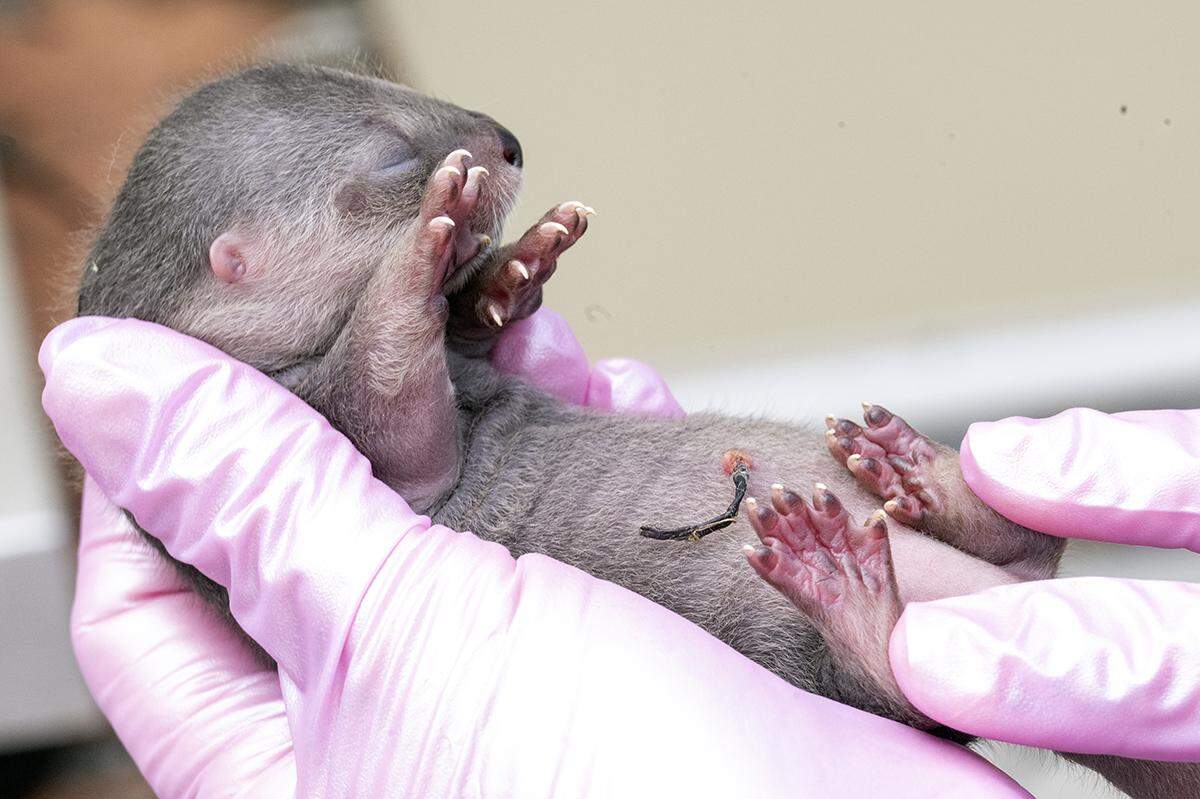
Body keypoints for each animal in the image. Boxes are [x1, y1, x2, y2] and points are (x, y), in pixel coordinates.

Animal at [73, 63, 1197, 798]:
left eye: (374, 76)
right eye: (390, 153)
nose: (503, 141)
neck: (263, 351)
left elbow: (470, 332)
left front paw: (512, 266)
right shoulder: (333, 414)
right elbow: (402, 411)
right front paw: (426, 249)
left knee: (1027, 552)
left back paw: (926, 477)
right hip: (857, 669)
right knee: (904, 676)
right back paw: (851, 590)